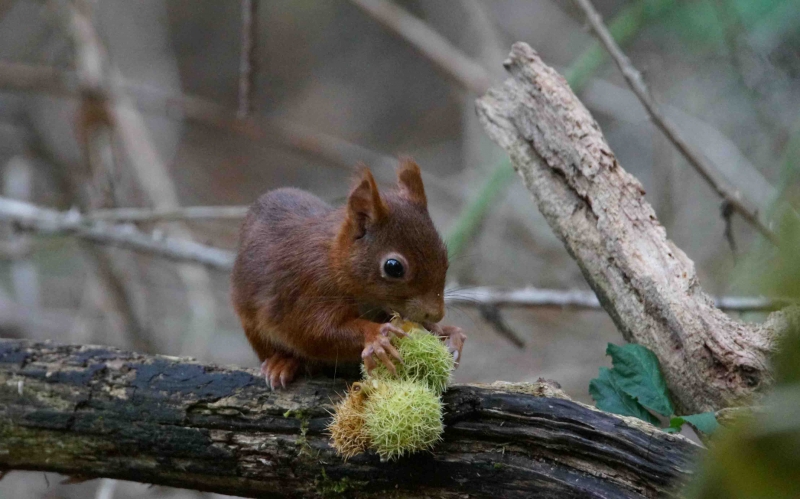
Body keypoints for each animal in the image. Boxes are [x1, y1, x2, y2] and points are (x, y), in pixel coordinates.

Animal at [228, 160, 466, 390]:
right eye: (393, 267)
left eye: (443, 252)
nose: (435, 314)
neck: (336, 261)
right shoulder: (309, 289)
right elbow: (316, 332)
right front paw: (376, 335)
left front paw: (446, 332)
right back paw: (282, 363)